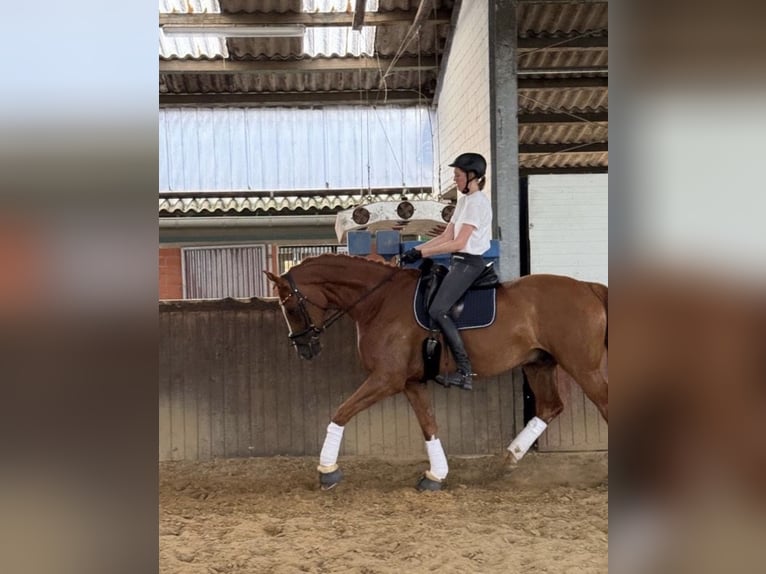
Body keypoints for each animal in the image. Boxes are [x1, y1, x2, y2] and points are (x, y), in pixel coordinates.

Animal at [265, 253, 608, 490]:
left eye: (290, 307)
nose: (304, 349)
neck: (379, 301)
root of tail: (588, 287)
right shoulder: (410, 382)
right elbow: (429, 425)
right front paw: (435, 476)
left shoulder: (386, 379)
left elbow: (340, 412)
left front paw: (328, 472)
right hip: (539, 364)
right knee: (551, 407)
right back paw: (509, 458)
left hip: (583, 367)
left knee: (603, 404)